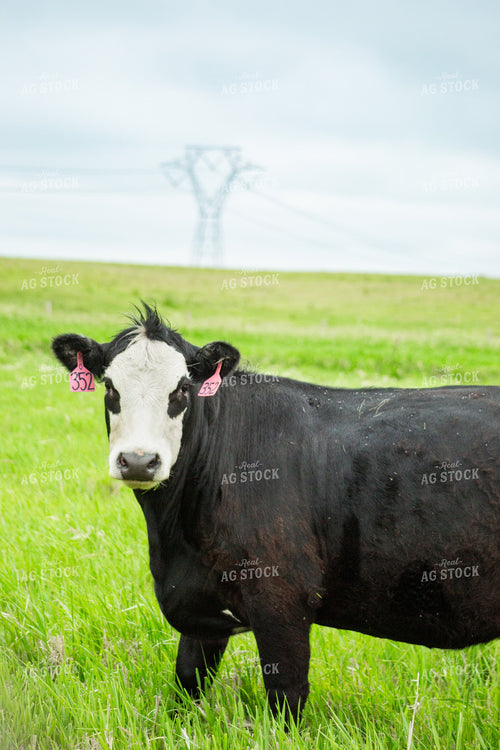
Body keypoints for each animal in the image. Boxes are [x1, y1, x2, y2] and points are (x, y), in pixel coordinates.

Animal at [52, 303, 500, 723]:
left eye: (182, 388)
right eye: (110, 386)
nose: (139, 461)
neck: (175, 539)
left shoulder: (281, 599)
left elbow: (286, 696)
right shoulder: (201, 606)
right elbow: (186, 683)